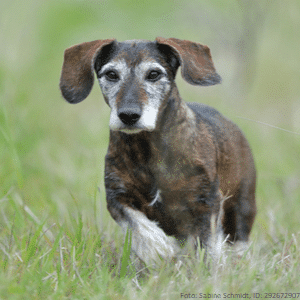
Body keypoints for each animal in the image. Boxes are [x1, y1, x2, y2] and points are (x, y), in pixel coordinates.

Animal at [59, 37, 256, 264]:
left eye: (154, 74)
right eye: (111, 74)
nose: (128, 115)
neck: (149, 149)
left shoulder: (207, 201)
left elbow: (208, 244)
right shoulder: (117, 196)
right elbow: (137, 224)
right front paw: (158, 249)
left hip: (242, 203)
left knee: (239, 236)